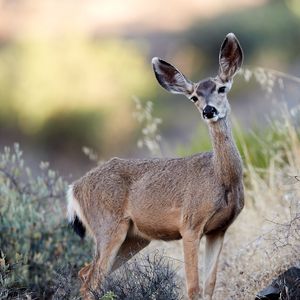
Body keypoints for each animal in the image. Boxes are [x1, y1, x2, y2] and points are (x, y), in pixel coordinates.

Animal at [67, 32, 244, 300]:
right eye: (194, 97)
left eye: (221, 88)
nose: (208, 110)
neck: (222, 178)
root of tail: (74, 188)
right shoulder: (190, 224)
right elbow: (194, 287)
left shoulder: (219, 229)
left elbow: (210, 284)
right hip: (108, 227)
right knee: (92, 280)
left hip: (135, 238)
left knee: (85, 272)